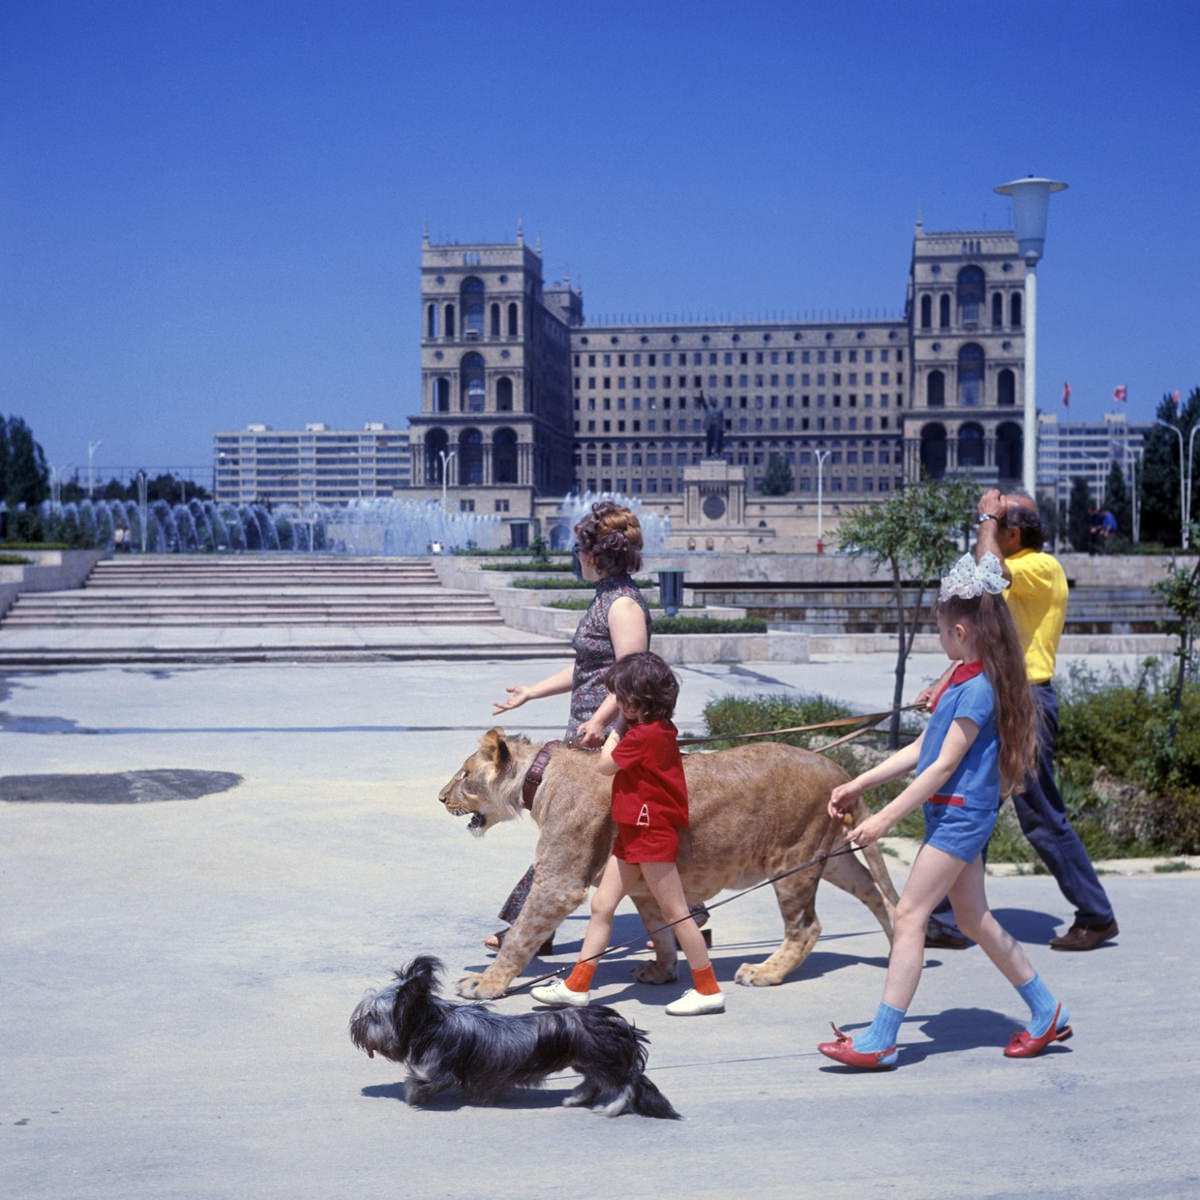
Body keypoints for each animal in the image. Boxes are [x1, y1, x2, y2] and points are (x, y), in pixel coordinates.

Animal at [350, 955, 681, 1113]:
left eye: (372, 1016)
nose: (354, 1027)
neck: (433, 1023)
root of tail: (618, 1024)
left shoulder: (439, 1071)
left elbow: (419, 1082)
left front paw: (412, 1095)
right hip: (588, 1061)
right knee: (596, 1082)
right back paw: (576, 1099)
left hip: (604, 1062)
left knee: (628, 1085)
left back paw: (611, 1107)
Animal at [436, 724, 897, 998]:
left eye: (464, 774)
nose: (440, 798)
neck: (539, 777)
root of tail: (839, 769)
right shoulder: (642, 884)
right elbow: (659, 928)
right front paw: (662, 971)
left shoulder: (559, 882)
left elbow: (520, 936)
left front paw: (486, 983)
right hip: (831, 857)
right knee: (875, 892)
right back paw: (897, 947)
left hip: (792, 860)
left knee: (807, 927)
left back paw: (765, 972)